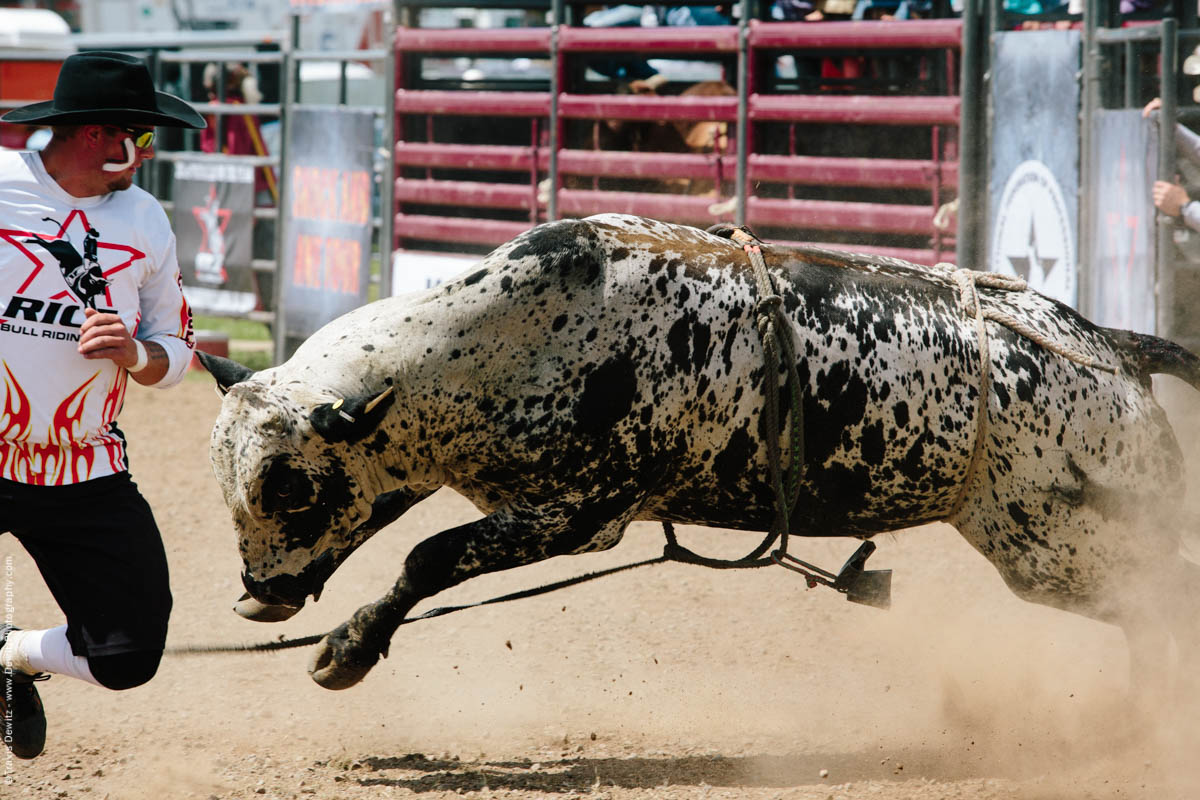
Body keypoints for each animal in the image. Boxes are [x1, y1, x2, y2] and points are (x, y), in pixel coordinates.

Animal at [201, 214, 1200, 695]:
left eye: (290, 488)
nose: (258, 596)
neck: (487, 343)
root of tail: (1114, 348)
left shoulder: (585, 509)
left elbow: (429, 555)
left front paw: (348, 650)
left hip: (1065, 545)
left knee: (1164, 601)